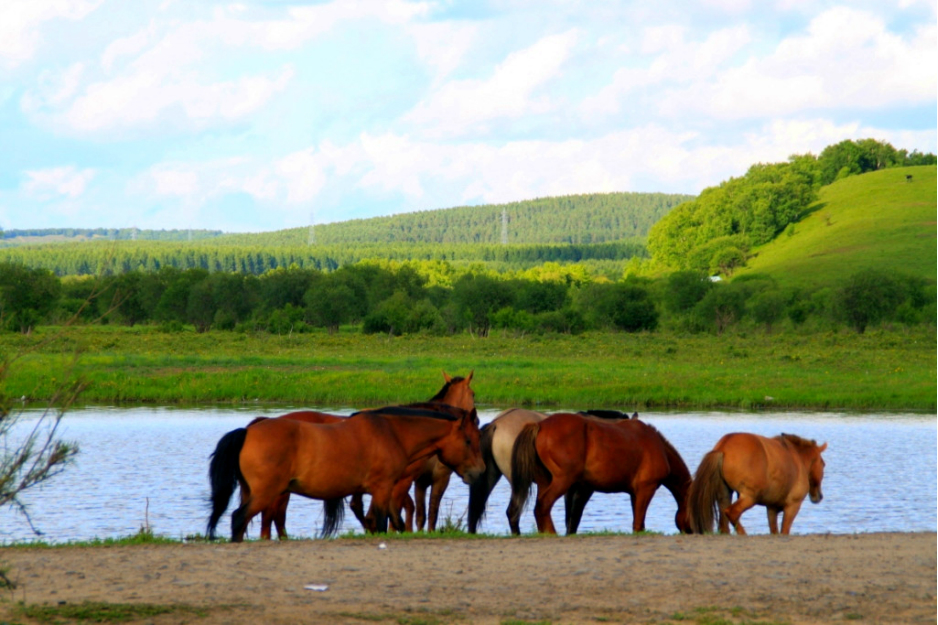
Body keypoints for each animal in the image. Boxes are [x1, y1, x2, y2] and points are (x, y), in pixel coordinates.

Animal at [205, 404, 482, 540]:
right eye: (469, 440)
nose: (480, 472)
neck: (391, 432)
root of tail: (248, 431)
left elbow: (385, 521)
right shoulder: (383, 489)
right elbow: (381, 522)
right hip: (266, 494)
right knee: (240, 518)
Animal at [247, 370, 476, 536]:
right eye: (473, 394)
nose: (476, 417)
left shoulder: (410, 481)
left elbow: (412, 510)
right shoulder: (413, 480)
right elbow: (415, 511)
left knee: (274, 516)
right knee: (272, 515)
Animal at [468, 408, 636, 532]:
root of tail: (496, 423)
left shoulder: (570, 488)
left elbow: (569, 517)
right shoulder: (583, 489)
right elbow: (575, 517)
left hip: (492, 476)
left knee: (474, 513)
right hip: (520, 483)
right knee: (513, 512)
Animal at [508, 412, 692, 532]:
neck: (659, 448)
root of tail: (539, 425)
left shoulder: (635, 494)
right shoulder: (646, 490)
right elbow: (638, 524)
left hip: (545, 481)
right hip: (562, 481)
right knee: (543, 506)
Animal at [680, 432, 828, 532]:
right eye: (823, 464)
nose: (819, 496)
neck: (797, 459)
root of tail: (723, 447)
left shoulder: (771, 508)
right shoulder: (792, 506)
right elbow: (784, 531)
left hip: (725, 495)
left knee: (724, 525)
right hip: (749, 497)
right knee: (732, 513)